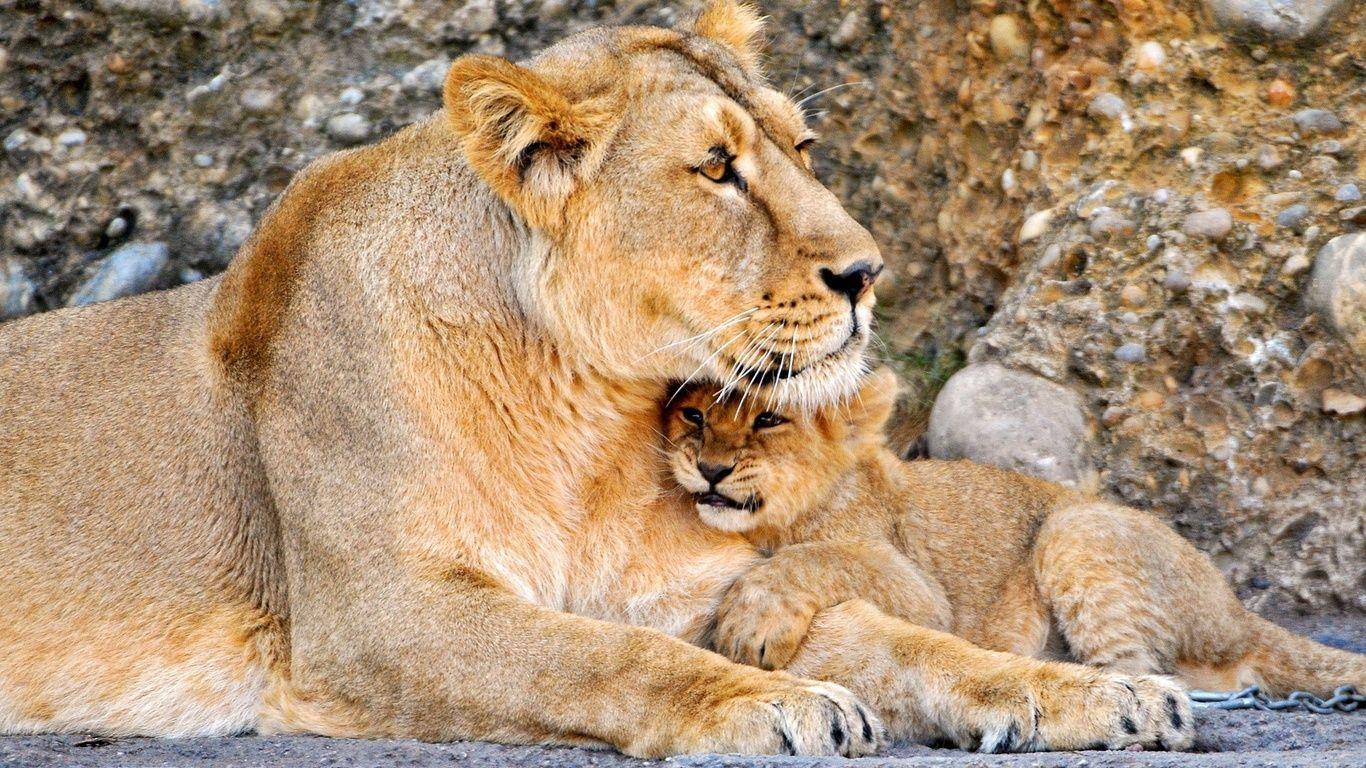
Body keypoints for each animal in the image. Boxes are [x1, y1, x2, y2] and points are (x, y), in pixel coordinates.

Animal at [1, 1, 1187, 756]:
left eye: (802, 147)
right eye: (716, 168)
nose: (868, 272)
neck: (588, 419)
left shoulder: (702, 595)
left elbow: (904, 640)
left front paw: (1100, 692)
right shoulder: (376, 616)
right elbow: (597, 658)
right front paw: (769, 708)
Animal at [663, 367, 1366, 712]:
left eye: (768, 419)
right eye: (693, 413)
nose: (711, 470)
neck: (770, 522)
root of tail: (1236, 612)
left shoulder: (923, 594)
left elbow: (823, 556)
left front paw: (753, 619)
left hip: (1074, 528)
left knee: (1145, 670)